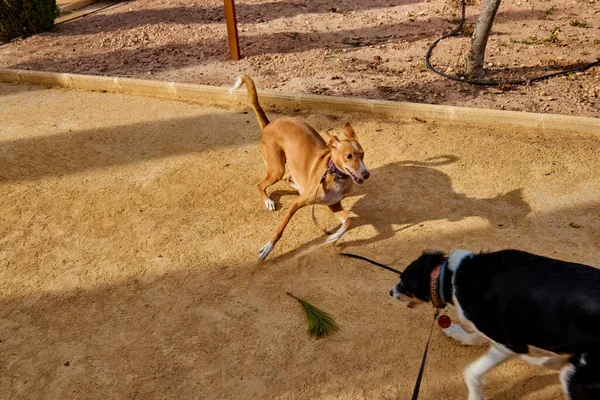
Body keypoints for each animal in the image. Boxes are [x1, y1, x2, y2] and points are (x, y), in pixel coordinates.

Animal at [232, 75, 368, 260]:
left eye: (362, 154)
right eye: (349, 156)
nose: (366, 174)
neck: (333, 176)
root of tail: (268, 124)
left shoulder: (333, 204)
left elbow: (348, 221)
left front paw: (333, 236)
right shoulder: (297, 204)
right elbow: (280, 230)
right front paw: (267, 248)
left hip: (285, 167)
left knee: (286, 177)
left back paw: (296, 186)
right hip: (276, 168)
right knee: (261, 185)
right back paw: (269, 201)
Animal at [392, 248, 596, 398]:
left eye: (403, 282)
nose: (391, 292)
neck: (451, 278)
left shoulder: (509, 345)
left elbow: (471, 373)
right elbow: (474, 336)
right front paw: (456, 333)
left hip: (574, 379)